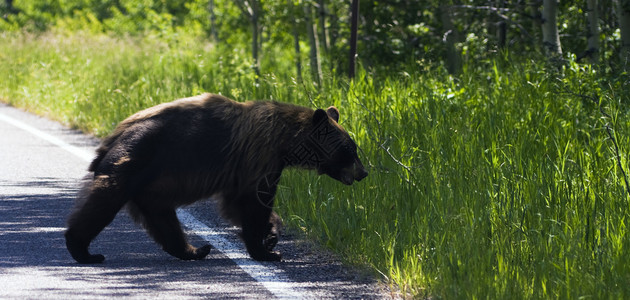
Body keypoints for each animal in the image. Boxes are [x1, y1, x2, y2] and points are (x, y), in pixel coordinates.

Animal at [65, 93, 368, 262]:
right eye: (350, 149)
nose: (363, 172)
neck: (286, 141)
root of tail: (112, 137)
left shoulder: (247, 168)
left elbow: (240, 203)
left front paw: (272, 235)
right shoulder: (259, 158)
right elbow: (253, 202)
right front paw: (267, 251)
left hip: (150, 186)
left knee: (164, 220)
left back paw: (195, 250)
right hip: (135, 159)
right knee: (104, 200)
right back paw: (83, 250)